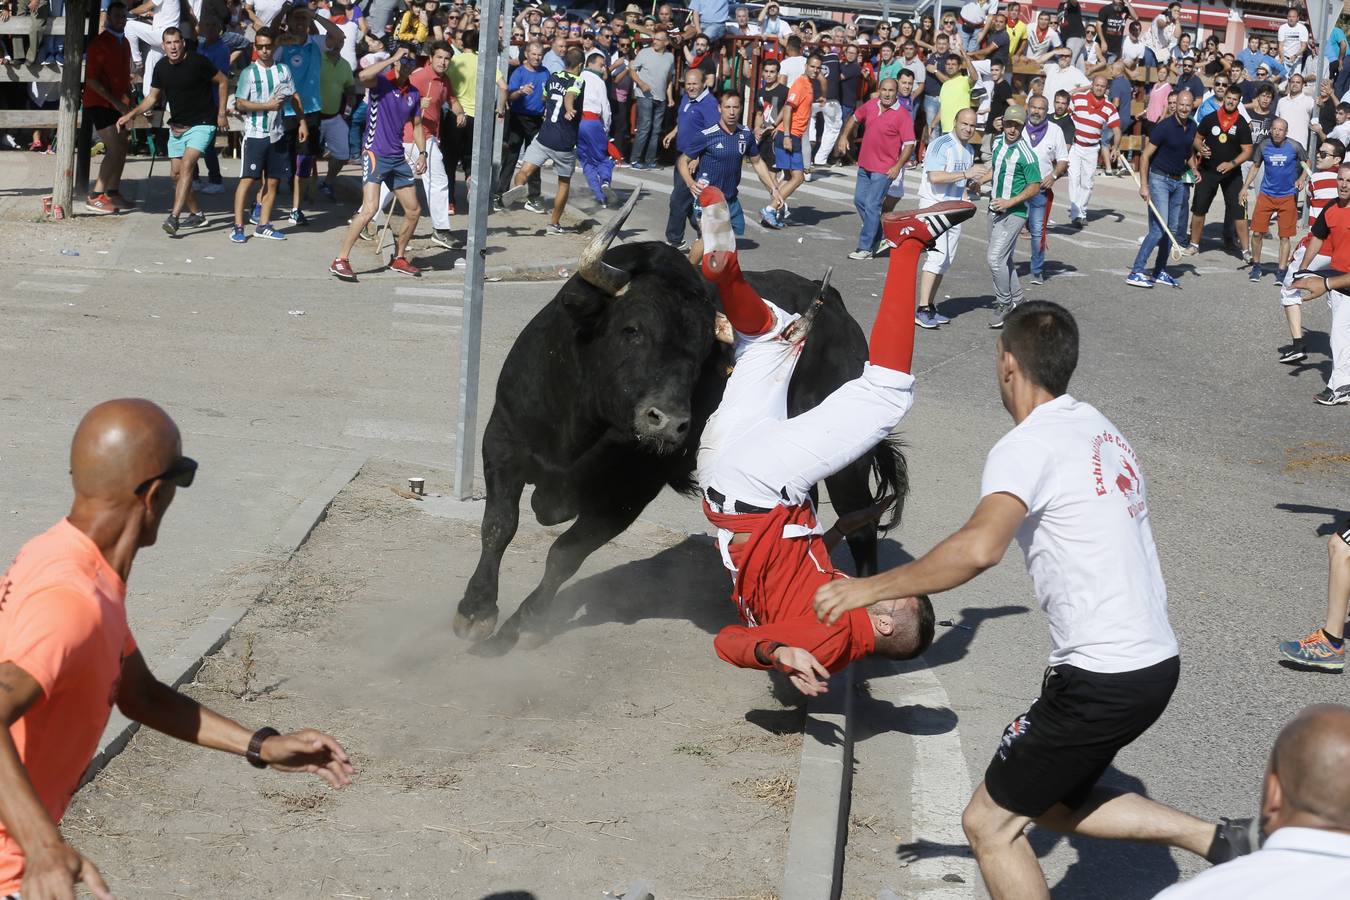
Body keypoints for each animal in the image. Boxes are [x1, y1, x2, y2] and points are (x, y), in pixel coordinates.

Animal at [450, 218, 907, 655]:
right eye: (632, 329)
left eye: (703, 347)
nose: (669, 422)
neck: (580, 429)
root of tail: (840, 314)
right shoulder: (503, 440)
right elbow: (498, 525)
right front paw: (475, 611)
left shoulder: (628, 495)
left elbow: (565, 554)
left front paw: (520, 627)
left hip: (848, 461)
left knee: (860, 523)